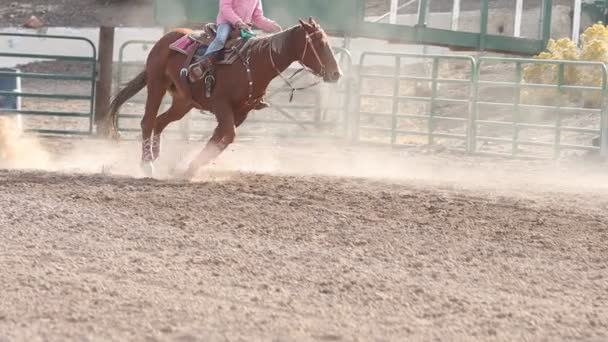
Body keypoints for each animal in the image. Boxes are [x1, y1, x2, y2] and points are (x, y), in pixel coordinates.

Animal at [105, 17, 342, 178]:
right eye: (319, 44)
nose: (336, 74)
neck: (254, 63)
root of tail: (167, 38)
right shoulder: (221, 105)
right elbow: (227, 136)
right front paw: (191, 168)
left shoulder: (241, 112)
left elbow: (219, 139)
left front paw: (188, 168)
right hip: (157, 83)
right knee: (147, 121)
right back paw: (147, 164)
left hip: (183, 102)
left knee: (160, 121)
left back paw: (156, 156)